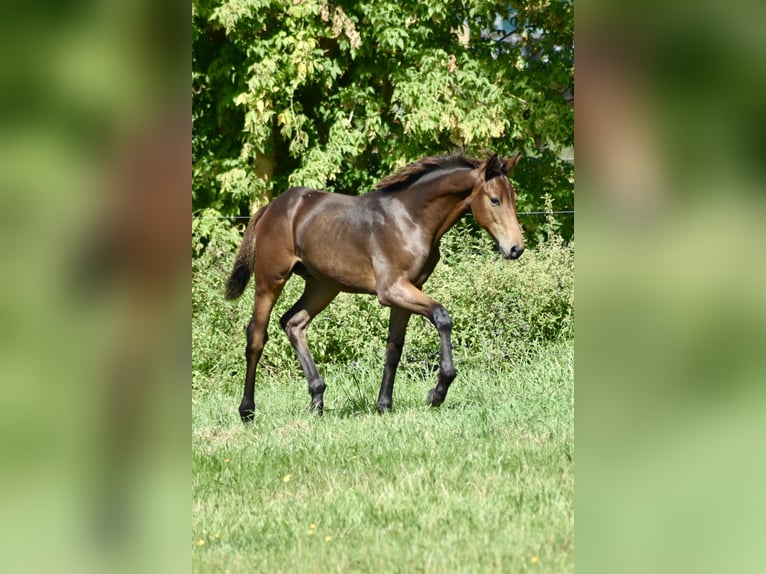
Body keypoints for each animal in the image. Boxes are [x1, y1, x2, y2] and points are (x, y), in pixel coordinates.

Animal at [225, 151, 524, 420]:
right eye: (495, 200)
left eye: (513, 199)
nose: (515, 248)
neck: (411, 219)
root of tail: (271, 208)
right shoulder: (392, 290)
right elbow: (442, 316)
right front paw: (437, 393)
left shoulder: (406, 291)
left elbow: (394, 349)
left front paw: (383, 405)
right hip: (270, 281)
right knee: (256, 337)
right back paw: (247, 410)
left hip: (322, 286)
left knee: (293, 323)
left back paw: (317, 399)